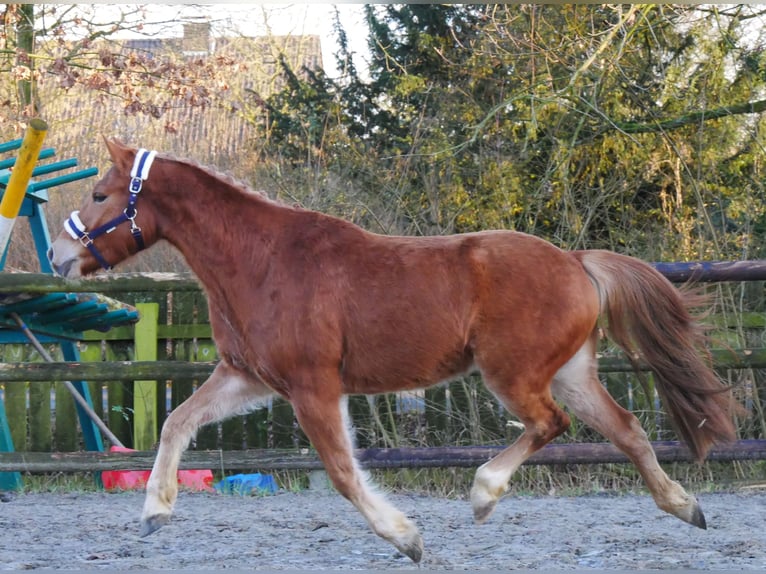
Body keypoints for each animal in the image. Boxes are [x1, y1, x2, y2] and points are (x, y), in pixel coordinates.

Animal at [49, 142, 744, 564]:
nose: (59, 256)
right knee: (626, 430)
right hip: (571, 372)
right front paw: (154, 512)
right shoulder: (248, 377)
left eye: (100, 195)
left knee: (552, 425)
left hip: (514, 375)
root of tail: (576, 262)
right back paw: (686, 508)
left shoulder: (312, 386)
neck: (260, 259)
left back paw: (484, 493)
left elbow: (342, 471)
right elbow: (178, 420)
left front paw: (406, 537)